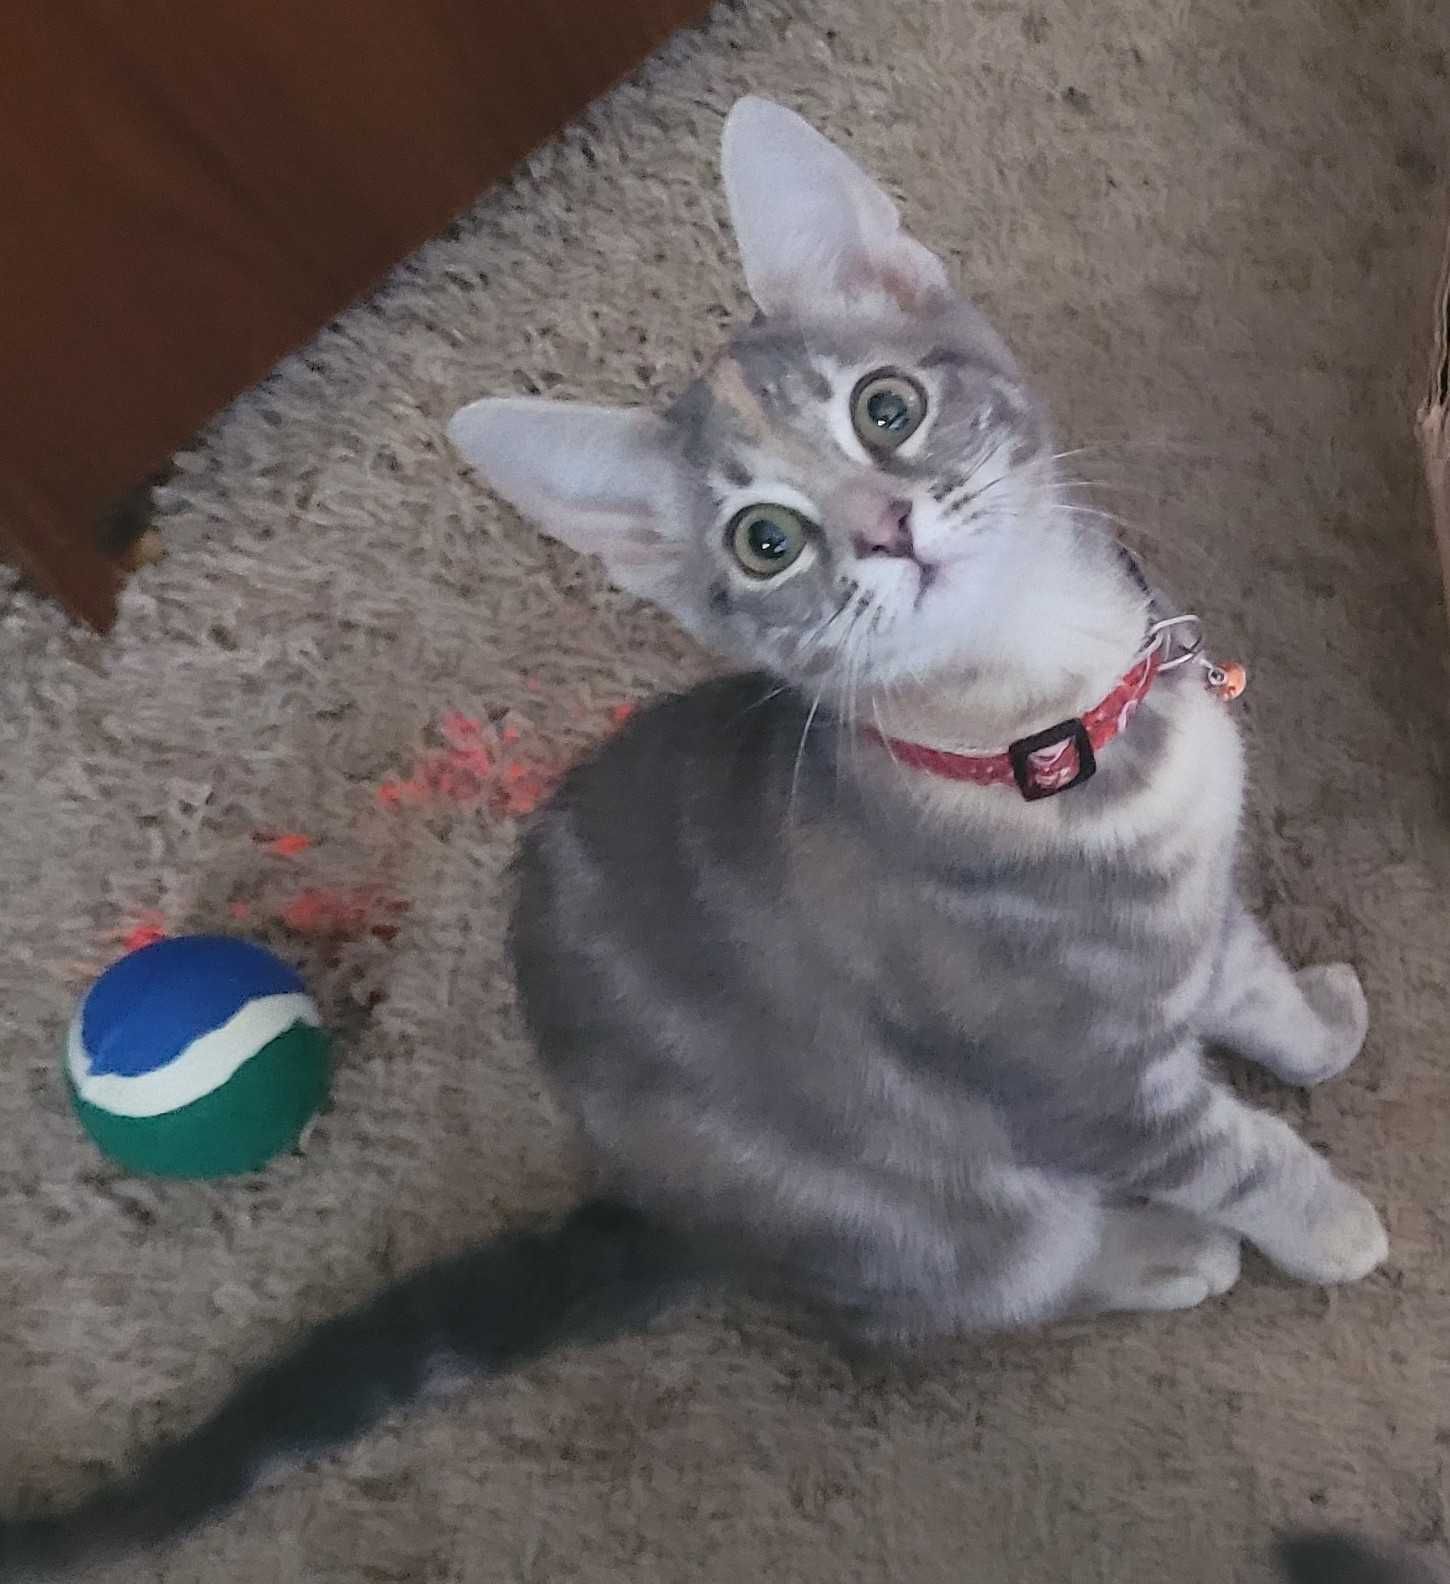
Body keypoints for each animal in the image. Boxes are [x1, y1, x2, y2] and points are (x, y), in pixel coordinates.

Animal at [0, 95, 1388, 1571]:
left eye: (886, 407)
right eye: (766, 541)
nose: (883, 530)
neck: (1050, 712)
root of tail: (665, 1216)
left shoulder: (1197, 894)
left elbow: (1247, 979)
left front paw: (1312, 1022)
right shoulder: (1072, 1072)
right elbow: (1231, 1153)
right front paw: (1326, 1221)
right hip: (929, 1201)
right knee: (940, 1300)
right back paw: (1148, 1255)